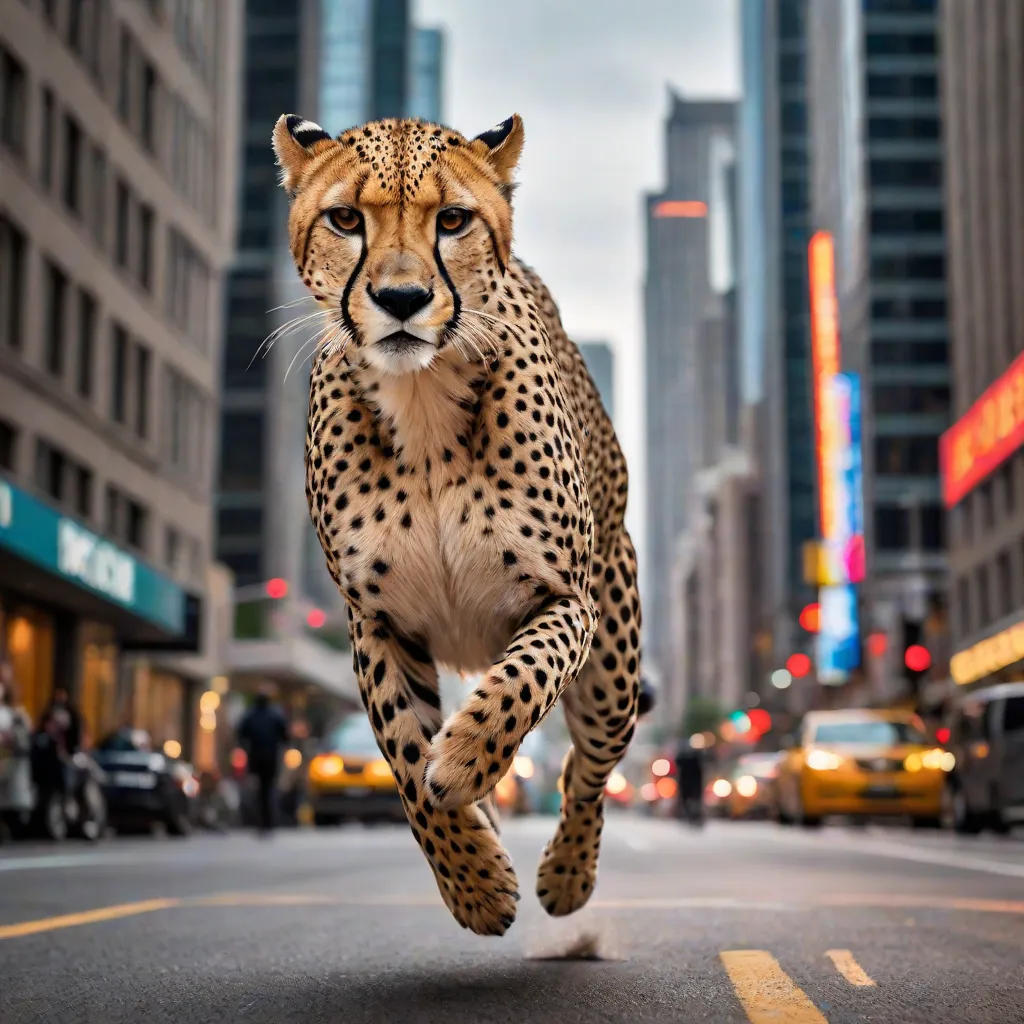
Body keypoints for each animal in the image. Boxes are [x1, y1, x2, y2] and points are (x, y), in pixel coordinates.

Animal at [271, 112, 642, 936]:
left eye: (452, 221)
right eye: (346, 220)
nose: (402, 298)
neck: (423, 398)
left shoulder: (564, 600)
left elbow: (521, 682)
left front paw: (469, 756)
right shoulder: (376, 621)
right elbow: (404, 755)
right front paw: (473, 882)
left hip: (613, 670)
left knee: (588, 769)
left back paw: (567, 876)